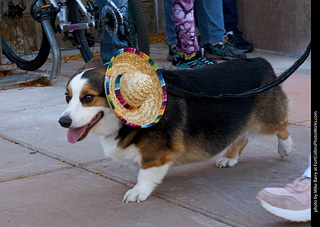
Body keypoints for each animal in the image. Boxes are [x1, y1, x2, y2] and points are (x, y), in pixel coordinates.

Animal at [58, 56, 292, 202]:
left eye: (88, 98)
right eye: (67, 97)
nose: (63, 122)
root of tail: (261, 61)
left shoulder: (155, 155)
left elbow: (145, 173)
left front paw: (138, 192)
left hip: (268, 120)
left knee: (282, 126)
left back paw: (286, 148)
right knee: (241, 136)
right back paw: (230, 158)